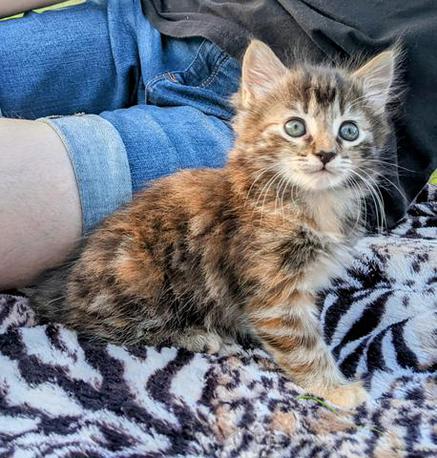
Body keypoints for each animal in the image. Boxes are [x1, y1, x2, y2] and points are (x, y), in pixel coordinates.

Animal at [28, 41, 396, 408]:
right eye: (295, 127)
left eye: (349, 131)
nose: (326, 154)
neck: (312, 203)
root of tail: (60, 285)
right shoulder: (272, 292)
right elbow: (302, 345)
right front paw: (336, 389)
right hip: (138, 274)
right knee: (102, 325)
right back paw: (197, 335)